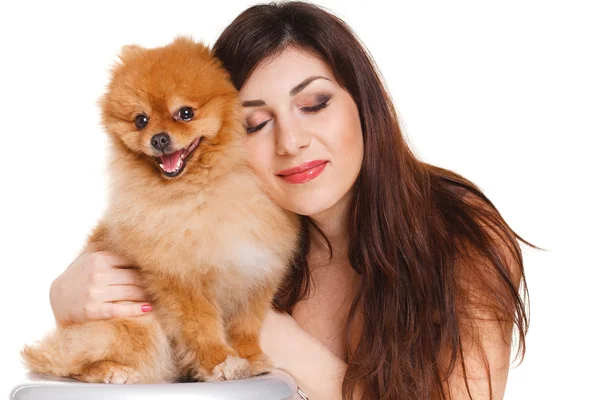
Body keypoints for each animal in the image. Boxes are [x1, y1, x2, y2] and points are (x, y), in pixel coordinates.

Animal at [21, 37, 300, 384]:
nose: (159, 138)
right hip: (134, 326)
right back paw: (113, 371)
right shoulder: (182, 278)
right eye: (140, 120)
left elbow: (246, 325)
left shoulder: (256, 272)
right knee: (74, 363)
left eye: (185, 113)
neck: (202, 191)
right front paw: (220, 361)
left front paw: (250, 357)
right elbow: (202, 327)